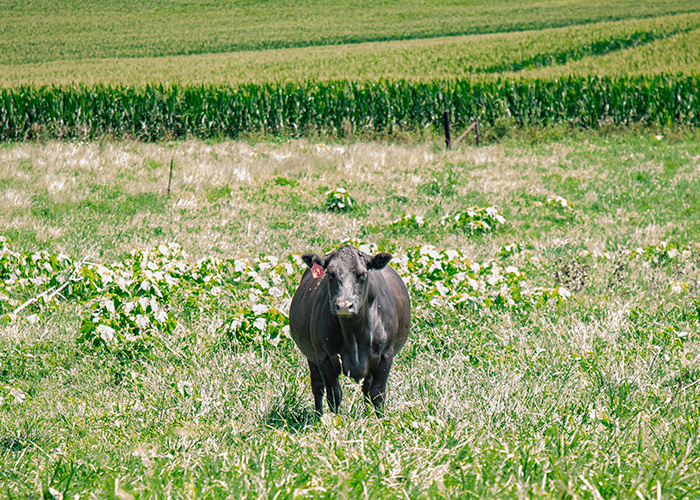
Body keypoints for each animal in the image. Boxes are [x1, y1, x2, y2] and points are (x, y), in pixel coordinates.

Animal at [289, 244, 411, 416]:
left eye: (362, 275)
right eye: (330, 274)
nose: (344, 305)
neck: (354, 334)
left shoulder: (386, 356)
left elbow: (377, 394)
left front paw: (381, 420)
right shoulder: (324, 357)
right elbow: (334, 395)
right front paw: (333, 420)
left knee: (366, 388)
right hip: (311, 357)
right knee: (317, 387)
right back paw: (318, 417)